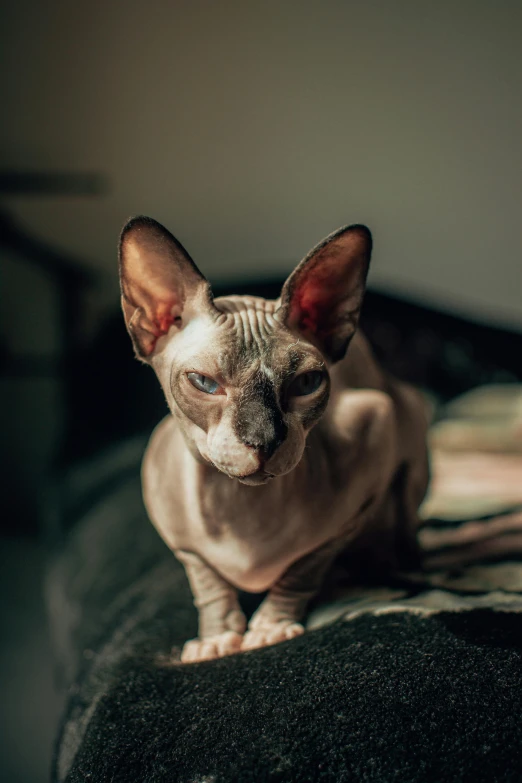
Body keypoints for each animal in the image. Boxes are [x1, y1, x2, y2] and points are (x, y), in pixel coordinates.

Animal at [120, 217, 428, 664]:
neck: (240, 508)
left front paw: (270, 627)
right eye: (204, 382)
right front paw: (217, 637)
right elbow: (207, 582)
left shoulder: (371, 440)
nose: (263, 440)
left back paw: (399, 563)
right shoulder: (180, 540)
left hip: (409, 422)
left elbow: (303, 570)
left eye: (307, 383)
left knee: (406, 514)